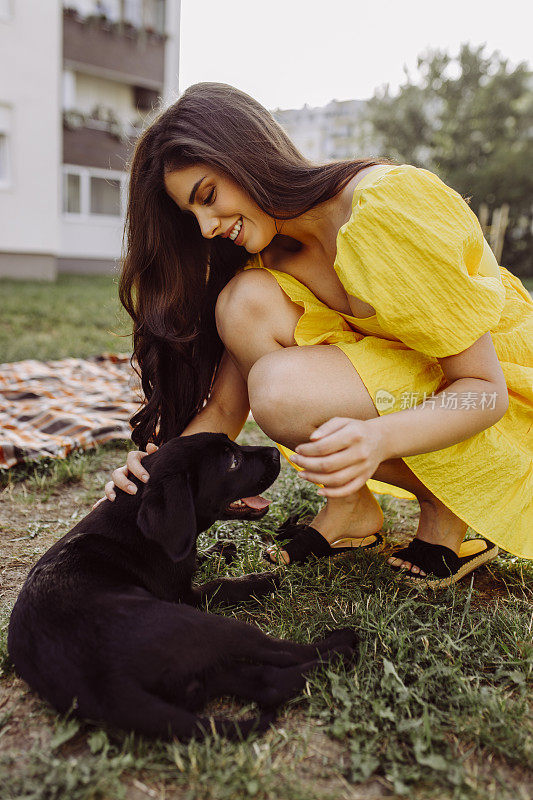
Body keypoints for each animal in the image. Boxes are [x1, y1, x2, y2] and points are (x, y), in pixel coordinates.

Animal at [8, 434, 356, 740]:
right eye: (232, 461)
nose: (274, 452)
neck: (134, 518)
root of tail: (105, 686)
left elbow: (192, 553)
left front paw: (220, 549)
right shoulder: (183, 596)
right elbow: (218, 585)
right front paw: (260, 579)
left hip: (201, 674)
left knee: (267, 683)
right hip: (207, 626)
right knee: (276, 652)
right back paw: (342, 645)